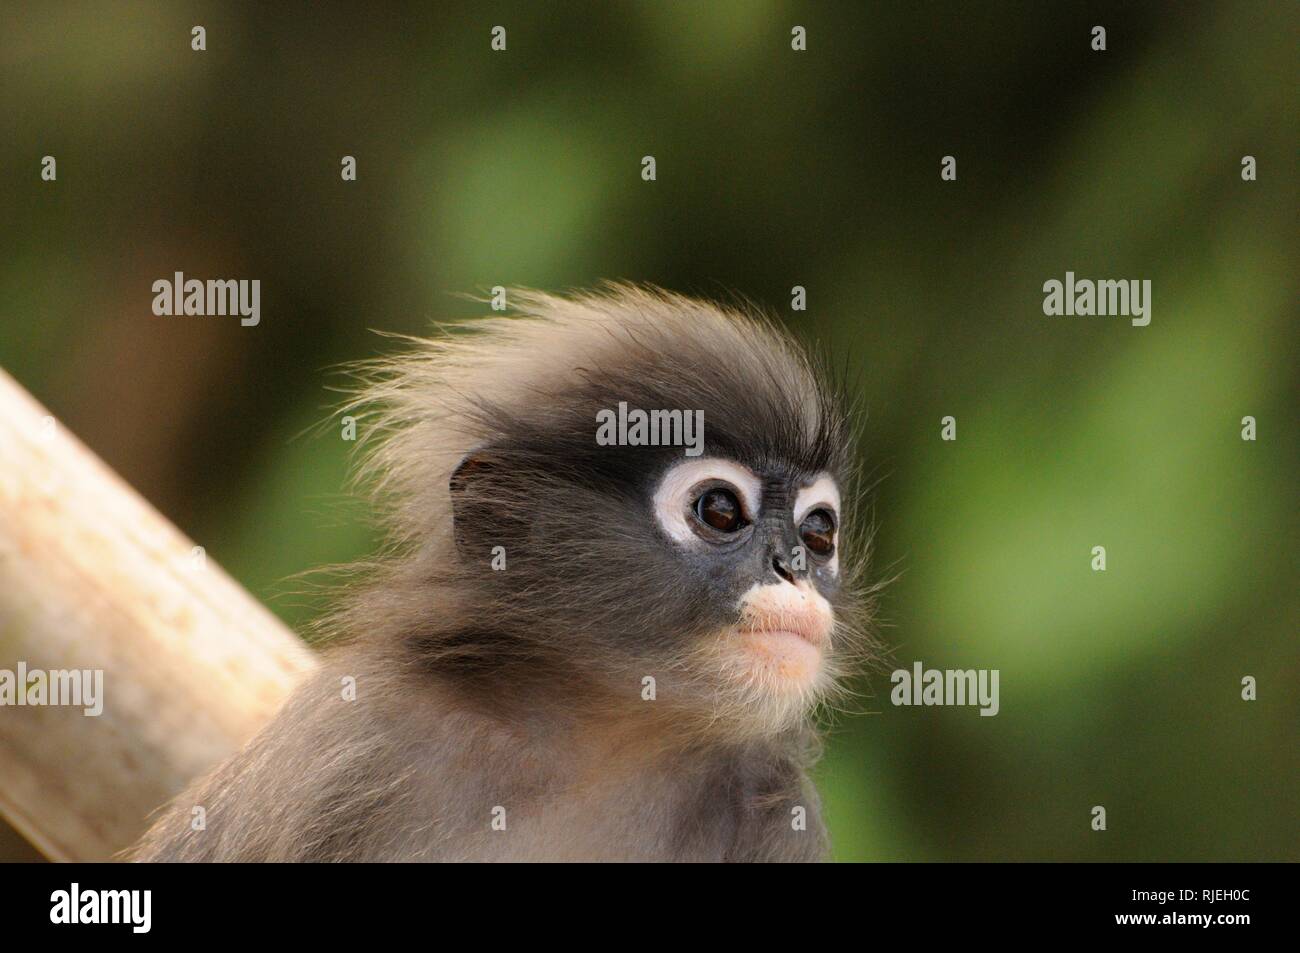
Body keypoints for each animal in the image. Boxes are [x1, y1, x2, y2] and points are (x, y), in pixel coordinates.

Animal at [129, 282, 873, 863]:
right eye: (719, 509)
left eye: (818, 532)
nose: (792, 568)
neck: (594, 745)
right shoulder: (346, 745)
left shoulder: (780, 812)